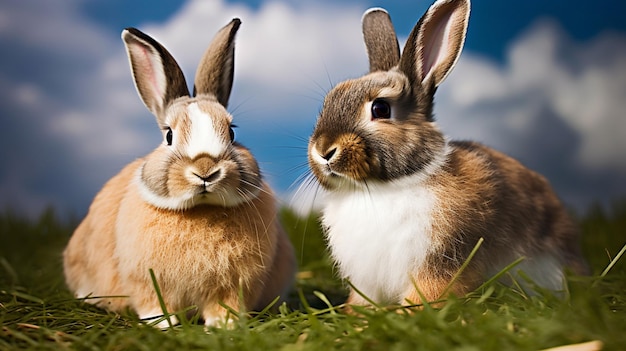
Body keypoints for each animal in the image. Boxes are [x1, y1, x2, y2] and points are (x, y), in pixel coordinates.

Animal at [62, 18, 294, 328]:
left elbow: (225, 307)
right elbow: (154, 306)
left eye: (232, 132)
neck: (201, 210)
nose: (205, 170)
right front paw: (164, 326)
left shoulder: (235, 286)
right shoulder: (146, 282)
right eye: (169, 136)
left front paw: (223, 327)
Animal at [304, 0, 588, 308]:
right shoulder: (367, 280)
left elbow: (428, 292)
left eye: (380, 109)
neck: (382, 187)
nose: (324, 150)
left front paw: (408, 313)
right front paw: (355, 314)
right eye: (329, 100)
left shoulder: (442, 262)